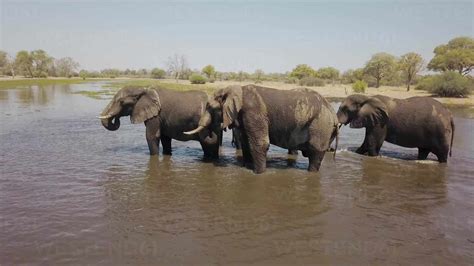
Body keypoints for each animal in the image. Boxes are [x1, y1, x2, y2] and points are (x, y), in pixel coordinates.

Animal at [184, 84, 336, 174]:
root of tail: (333, 113)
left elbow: (260, 144)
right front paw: (247, 167)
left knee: (316, 152)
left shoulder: (253, 111)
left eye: (209, 107)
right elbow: (246, 143)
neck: (233, 89)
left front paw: (259, 174)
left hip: (321, 126)